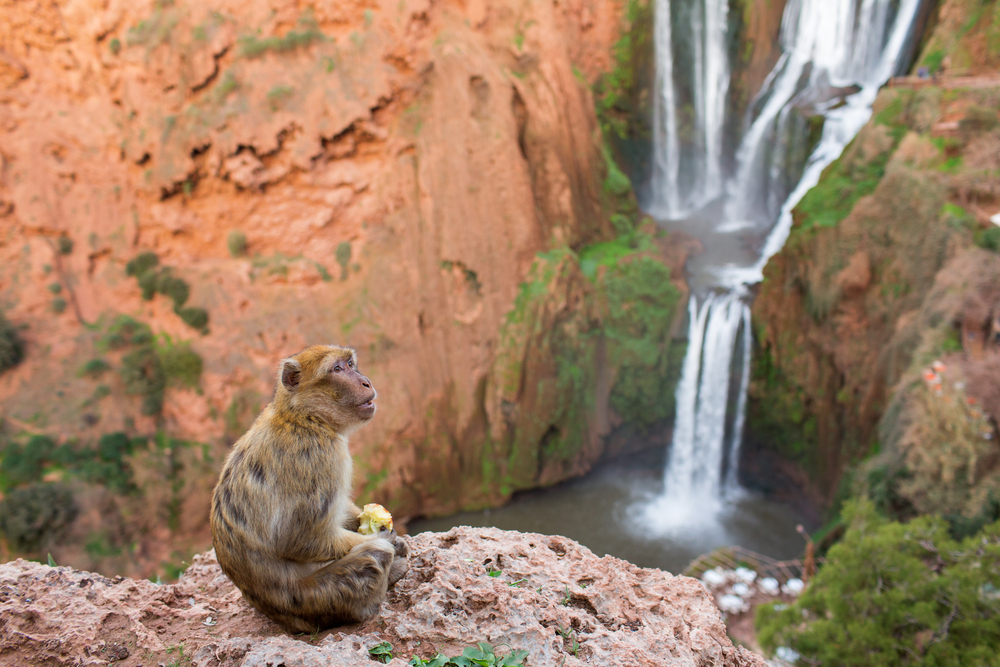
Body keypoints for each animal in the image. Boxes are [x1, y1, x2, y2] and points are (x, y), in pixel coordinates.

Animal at [212, 348, 410, 636]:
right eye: (337, 369)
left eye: (350, 364)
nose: (366, 382)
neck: (302, 417)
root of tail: (284, 620)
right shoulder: (319, 455)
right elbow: (301, 539)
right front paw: (387, 538)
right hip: (319, 599)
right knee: (374, 556)